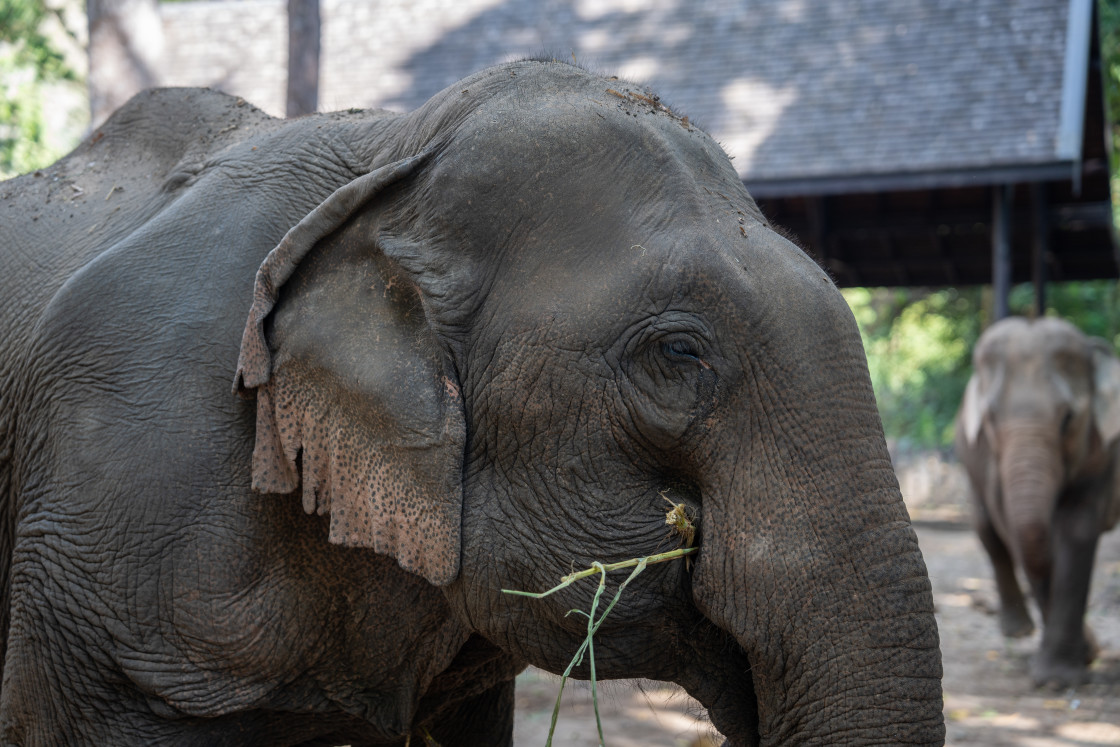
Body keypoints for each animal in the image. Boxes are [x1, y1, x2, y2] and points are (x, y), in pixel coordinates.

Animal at [954, 315, 1120, 689]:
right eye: (990, 419)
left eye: (1068, 418)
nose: (1093, 649)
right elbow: (1014, 529)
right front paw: (1074, 664)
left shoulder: (1102, 451)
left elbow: (1076, 528)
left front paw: (1059, 679)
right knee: (987, 530)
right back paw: (1018, 631)